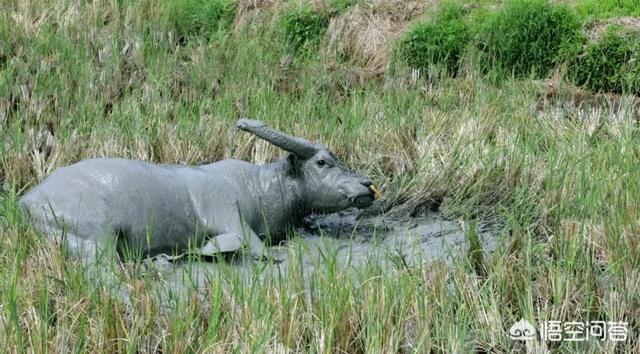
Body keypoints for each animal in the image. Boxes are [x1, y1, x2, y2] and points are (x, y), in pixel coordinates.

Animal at [18, 119, 380, 262]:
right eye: (322, 162)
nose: (367, 185)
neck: (258, 188)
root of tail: (28, 200)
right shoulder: (228, 216)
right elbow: (255, 247)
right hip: (97, 236)